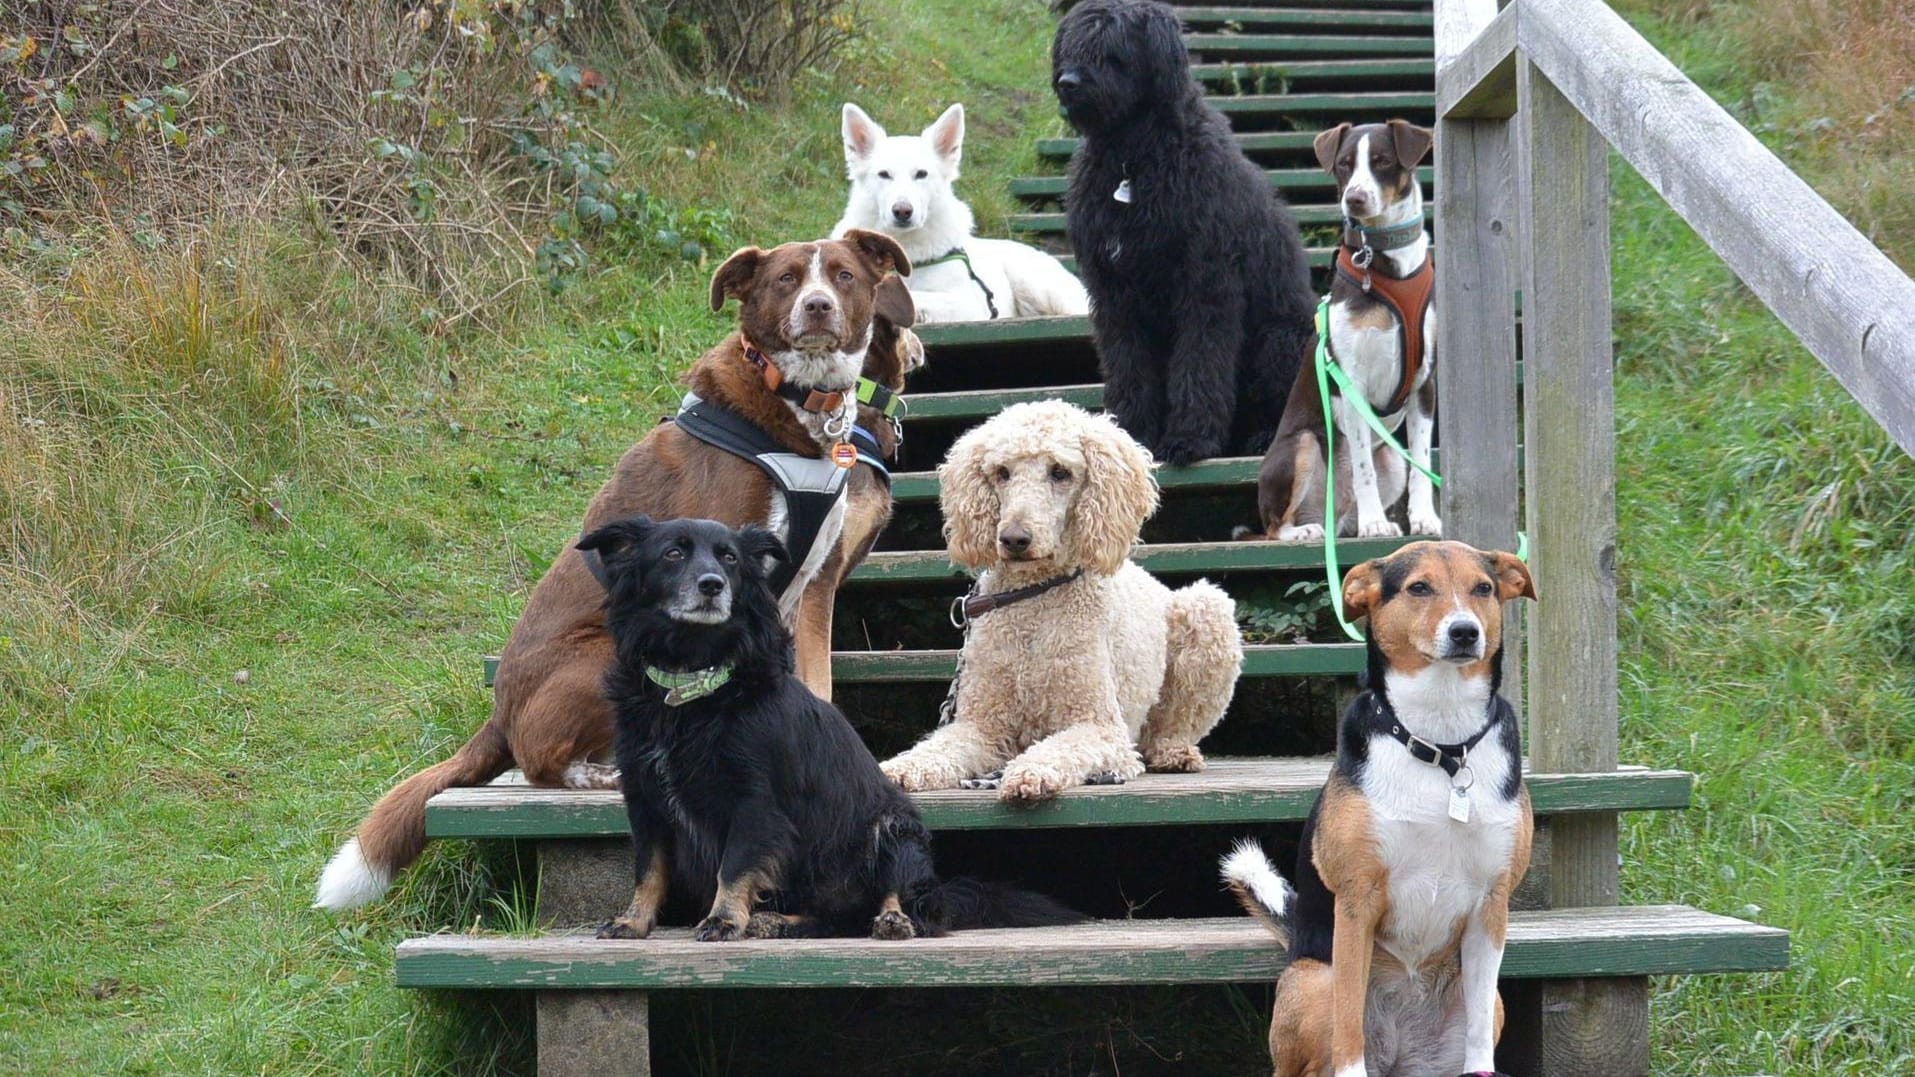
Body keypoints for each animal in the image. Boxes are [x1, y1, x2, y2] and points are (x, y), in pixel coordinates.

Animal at [317, 232, 923, 904]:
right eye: (787, 279)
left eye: (843, 275)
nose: (817, 307)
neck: (795, 408)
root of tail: (498, 715)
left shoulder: (813, 588)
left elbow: (816, 685)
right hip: (606, 652)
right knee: (542, 765)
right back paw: (603, 776)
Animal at [574, 517, 1087, 935]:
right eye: (673, 553)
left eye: (730, 558)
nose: (712, 584)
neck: (693, 681)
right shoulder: (645, 797)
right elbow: (649, 869)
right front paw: (633, 921)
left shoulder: (753, 798)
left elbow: (735, 865)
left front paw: (722, 919)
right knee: (834, 918)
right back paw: (776, 921)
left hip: (894, 828)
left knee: (897, 902)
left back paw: (892, 921)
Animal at [831, 104, 1087, 321]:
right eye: (884, 174)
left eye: (921, 174)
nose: (902, 211)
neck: (904, 249)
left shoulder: (969, 305)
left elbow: (914, 296)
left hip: (1038, 286)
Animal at [1057, 0, 1325, 461]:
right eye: (1073, 44)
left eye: (1112, 49)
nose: (1067, 82)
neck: (1133, 163)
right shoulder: (1115, 294)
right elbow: (1129, 368)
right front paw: (1131, 431)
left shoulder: (1206, 285)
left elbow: (1200, 363)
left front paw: (1190, 438)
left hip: (1281, 340)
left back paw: (1263, 437)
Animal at [1225, 540, 1539, 1073]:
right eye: (1419, 588)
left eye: (1483, 588)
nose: (1465, 631)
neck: (1441, 743)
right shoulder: (1357, 902)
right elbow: (1349, 1029)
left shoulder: (1490, 908)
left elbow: (1478, 1035)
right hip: (1315, 982)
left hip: (1490, 1003)